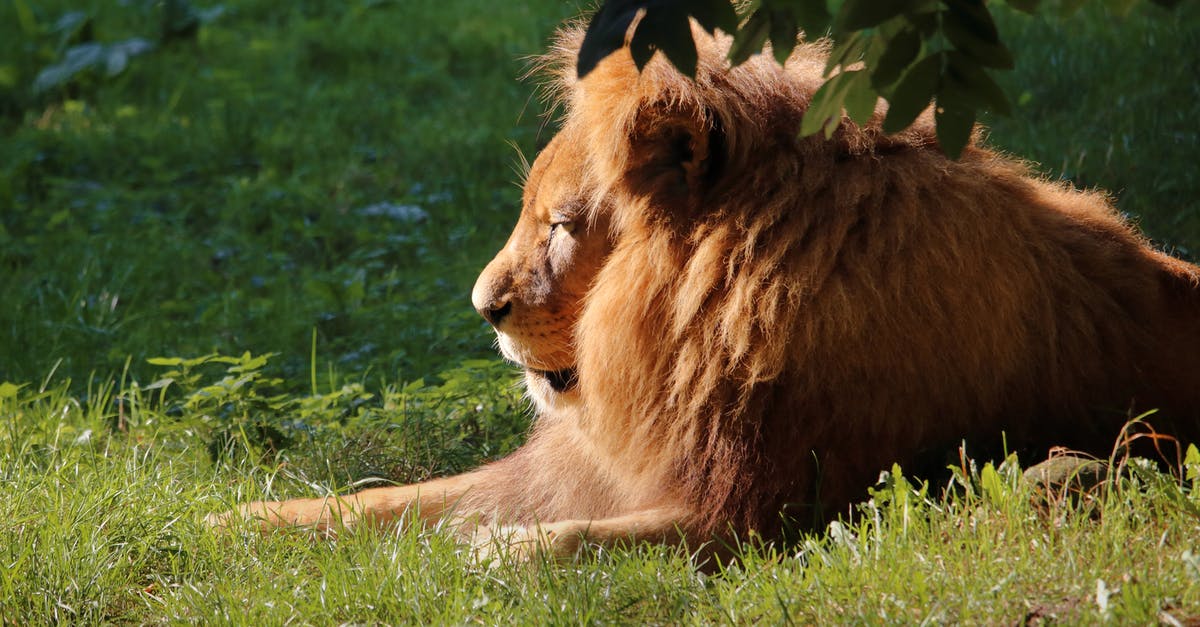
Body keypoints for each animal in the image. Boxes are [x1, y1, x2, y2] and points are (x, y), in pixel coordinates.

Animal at [208, 22, 1200, 558]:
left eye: (561, 226)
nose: (483, 307)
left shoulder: (775, 508)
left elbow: (578, 539)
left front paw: (491, 553)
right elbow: (382, 498)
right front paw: (221, 519)